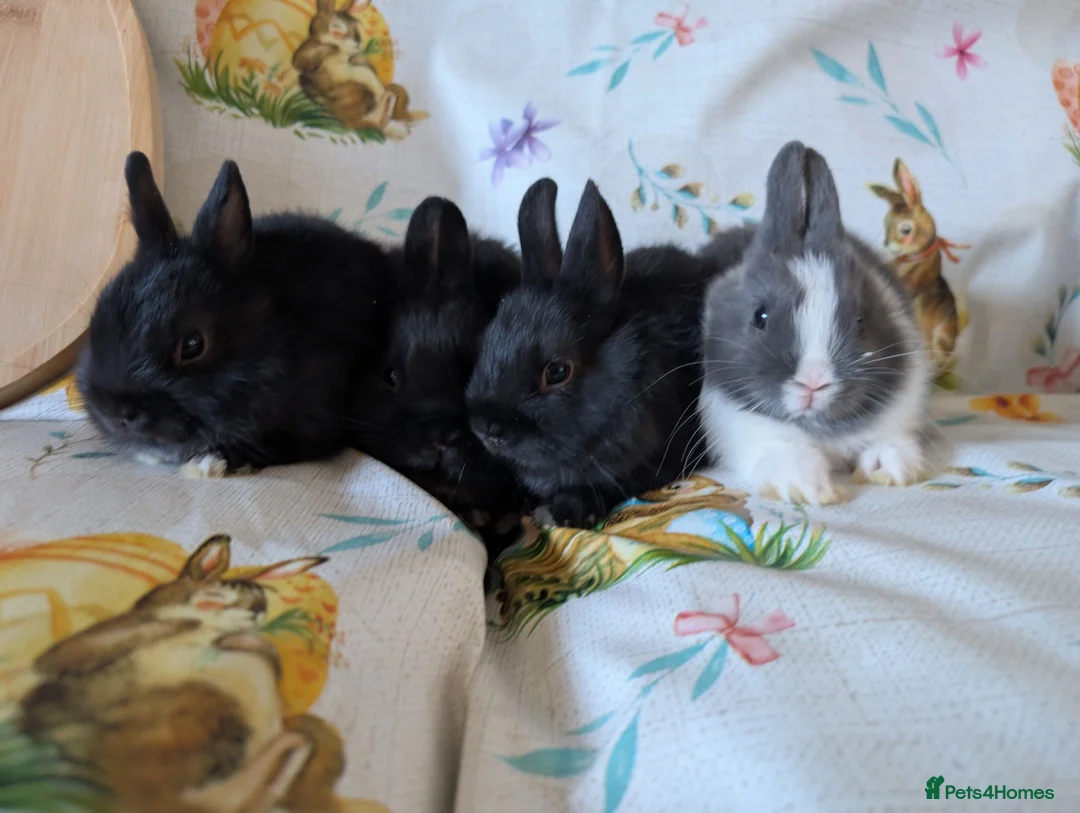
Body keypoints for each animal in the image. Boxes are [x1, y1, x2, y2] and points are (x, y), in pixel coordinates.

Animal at [18, 534, 344, 813]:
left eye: (262, 605)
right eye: (218, 595)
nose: (255, 613)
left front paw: (238, 641)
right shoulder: (79, 650)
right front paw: (186, 627)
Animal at [292, 0, 424, 140]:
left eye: (356, 29)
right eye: (337, 29)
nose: (356, 44)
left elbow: (363, 67)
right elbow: (300, 61)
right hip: (351, 98)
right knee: (362, 123)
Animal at [698, 141, 935, 506]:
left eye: (861, 320)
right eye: (760, 316)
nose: (813, 382)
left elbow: (888, 440)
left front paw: (891, 469)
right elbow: (787, 452)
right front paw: (808, 489)